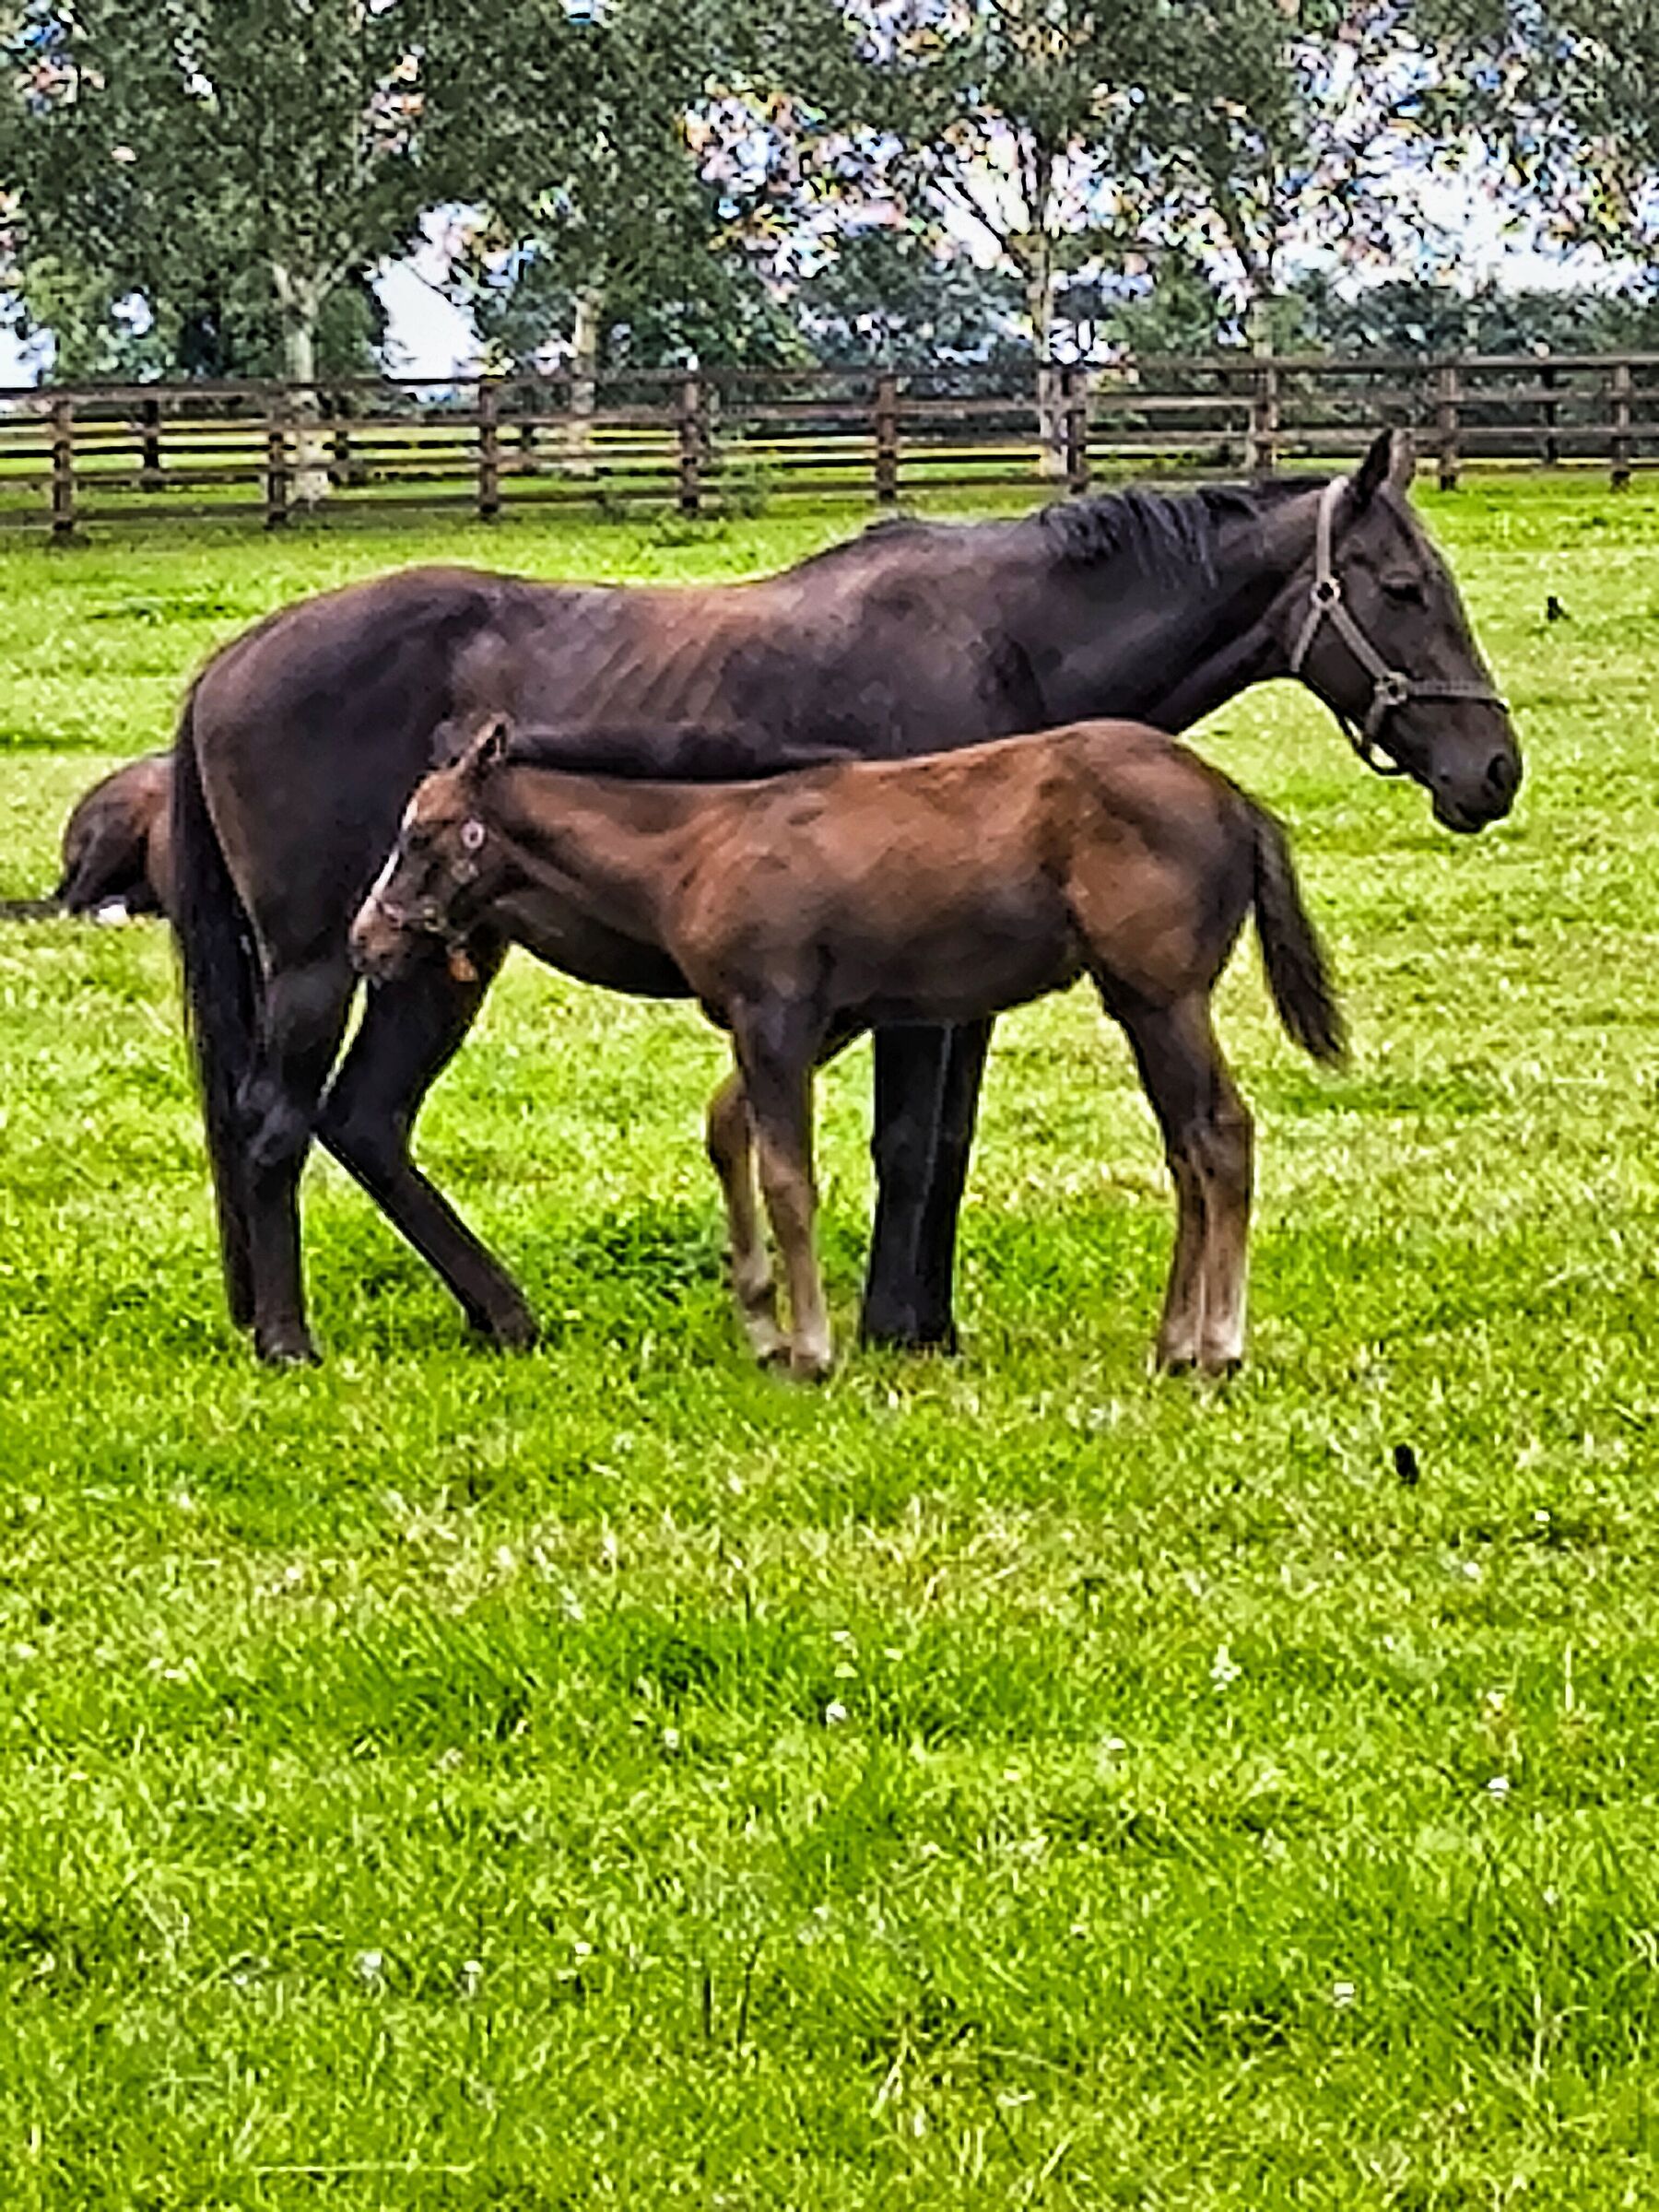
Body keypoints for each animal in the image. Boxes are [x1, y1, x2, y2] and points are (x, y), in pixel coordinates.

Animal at [351, 715, 1344, 1378]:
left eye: (421, 835)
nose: (367, 940)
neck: (690, 850)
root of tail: (1238, 804)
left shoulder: (777, 1015)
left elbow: (790, 1179)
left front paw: (812, 1346)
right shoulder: (820, 1018)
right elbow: (727, 1127)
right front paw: (760, 1323)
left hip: (1163, 996)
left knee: (1219, 1135)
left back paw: (1218, 1344)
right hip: (1139, 1003)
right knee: (1186, 1149)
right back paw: (1174, 1342)